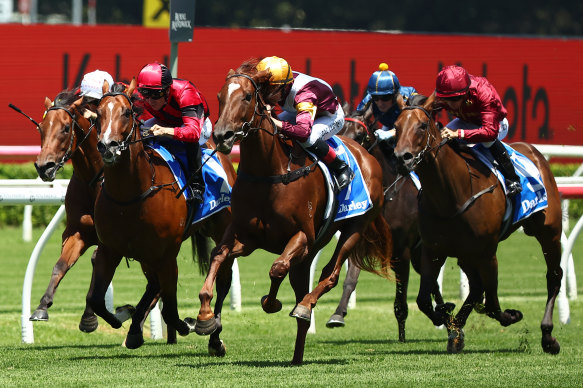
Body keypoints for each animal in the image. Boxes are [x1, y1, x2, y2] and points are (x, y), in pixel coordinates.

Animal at [89, 80, 237, 350]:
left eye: (127, 112)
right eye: (99, 114)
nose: (107, 146)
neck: (130, 196)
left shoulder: (167, 254)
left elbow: (169, 308)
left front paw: (189, 324)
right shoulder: (110, 249)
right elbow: (95, 299)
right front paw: (122, 316)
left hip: (223, 230)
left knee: (223, 278)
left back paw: (213, 335)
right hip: (146, 254)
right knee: (154, 284)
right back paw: (134, 328)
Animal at [195, 59, 392, 366]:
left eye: (248, 97)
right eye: (219, 97)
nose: (222, 135)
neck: (269, 173)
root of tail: (367, 156)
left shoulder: (301, 237)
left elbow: (277, 268)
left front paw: (271, 301)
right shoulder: (245, 236)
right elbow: (218, 256)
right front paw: (205, 317)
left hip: (354, 227)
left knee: (330, 274)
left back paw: (305, 306)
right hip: (309, 253)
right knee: (303, 286)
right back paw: (297, 354)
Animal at [328, 101, 448, 342]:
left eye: (360, 134)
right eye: (338, 131)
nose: (345, 156)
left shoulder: (401, 250)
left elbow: (401, 297)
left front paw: (402, 333)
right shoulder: (362, 240)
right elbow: (350, 280)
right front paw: (338, 314)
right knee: (431, 281)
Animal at [394, 94, 564, 354]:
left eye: (422, 126)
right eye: (396, 126)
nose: (402, 158)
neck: (452, 193)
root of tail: (534, 152)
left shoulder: (486, 253)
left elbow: (492, 303)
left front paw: (511, 315)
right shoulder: (433, 250)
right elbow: (424, 301)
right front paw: (450, 321)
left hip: (549, 232)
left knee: (553, 276)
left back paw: (548, 337)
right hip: (466, 253)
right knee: (475, 288)